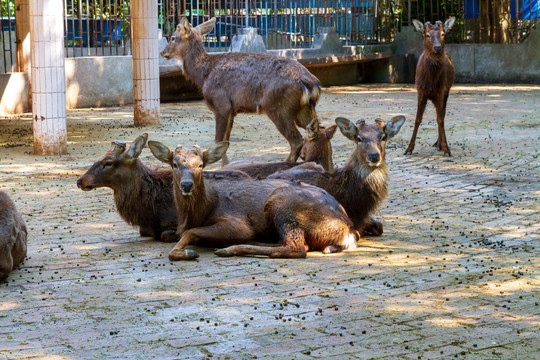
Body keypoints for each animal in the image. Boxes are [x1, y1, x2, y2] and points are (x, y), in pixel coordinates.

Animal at [148, 139, 358, 260]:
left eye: (200, 165)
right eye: (174, 164)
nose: (186, 185)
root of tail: (347, 229)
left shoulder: (236, 222)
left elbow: (188, 234)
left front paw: (187, 252)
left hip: (283, 204)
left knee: (297, 247)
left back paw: (231, 248)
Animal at [160, 17, 320, 167]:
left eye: (173, 37)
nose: (162, 52)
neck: (204, 75)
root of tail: (312, 84)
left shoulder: (221, 104)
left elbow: (218, 140)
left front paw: (223, 165)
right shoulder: (232, 110)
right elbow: (226, 141)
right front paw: (226, 165)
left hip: (277, 106)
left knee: (297, 140)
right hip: (303, 109)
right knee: (316, 132)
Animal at [404, 16, 456, 156]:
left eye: (442, 34)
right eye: (427, 35)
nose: (438, 48)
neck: (430, 81)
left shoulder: (442, 90)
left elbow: (440, 119)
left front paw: (446, 149)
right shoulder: (421, 90)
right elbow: (417, 119)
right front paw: (409, 149)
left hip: (446, 92)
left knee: (441, 115)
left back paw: (439, 143)